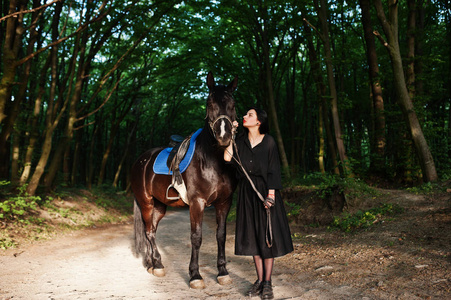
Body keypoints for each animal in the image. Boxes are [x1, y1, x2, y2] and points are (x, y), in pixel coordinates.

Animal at [130, 71, 238, 290]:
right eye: (209, 103)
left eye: (232, 104)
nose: (224, 137)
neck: (213, 161)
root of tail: (141, 160)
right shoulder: (197, 203)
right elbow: (196, 237)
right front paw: (195, 275)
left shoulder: (224, 202)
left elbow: (221, 236)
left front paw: (222, 272)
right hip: (146, 203)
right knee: (149, 232)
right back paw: (158, 266)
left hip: (160, 206)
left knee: (151, 230)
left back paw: (152, 263)